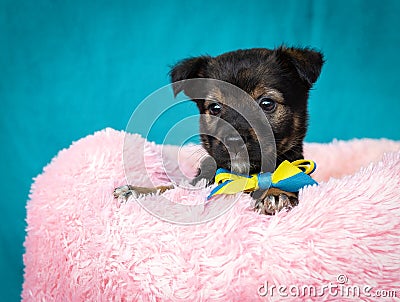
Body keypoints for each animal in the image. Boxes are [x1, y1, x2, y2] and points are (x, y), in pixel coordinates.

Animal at [114, 46, 324, 215]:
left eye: (267, 104)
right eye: (215, 108)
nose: (234, 142)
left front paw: (275, 194)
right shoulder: (200, 181)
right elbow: (172, 187)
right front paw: (137, 190)